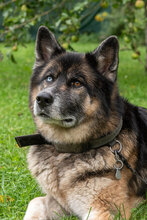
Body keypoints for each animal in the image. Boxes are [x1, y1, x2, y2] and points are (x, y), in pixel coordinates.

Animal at [23, 26, 147, 219]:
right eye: (49, 78)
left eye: (76, 83)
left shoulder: (104, 209)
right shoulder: (60, 202)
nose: (42, 99)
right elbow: (34, 201)